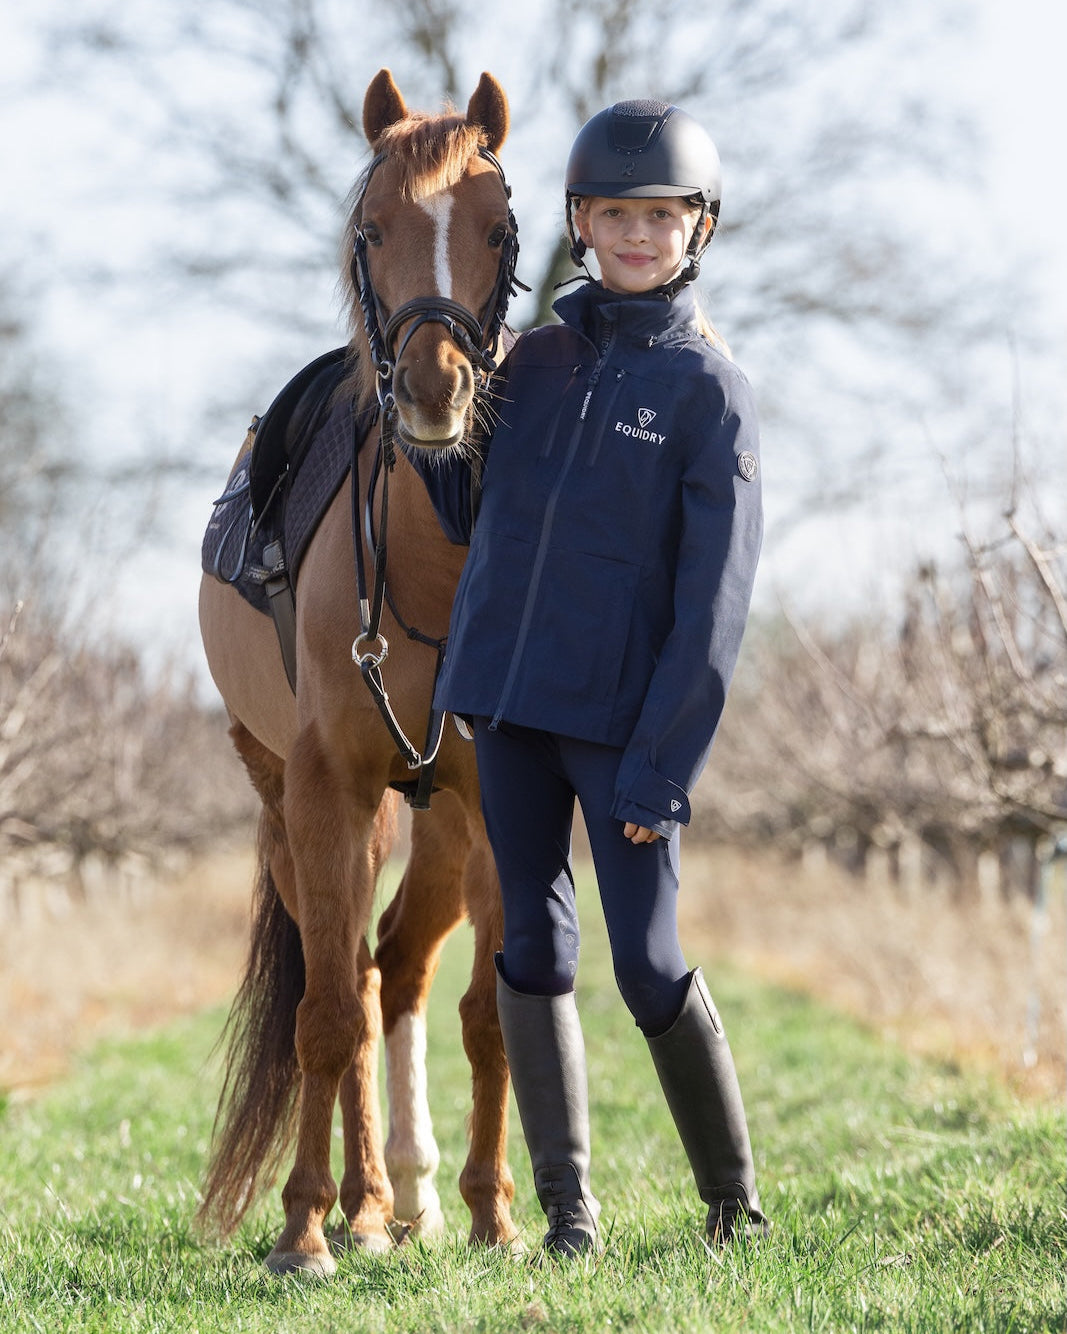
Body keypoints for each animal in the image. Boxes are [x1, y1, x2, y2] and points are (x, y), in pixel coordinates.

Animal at [197, 69, 522, 1276]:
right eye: (371, 228)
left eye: (497, 227)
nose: (435, 391)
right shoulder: (328, 790)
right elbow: (325, 1014)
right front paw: (301, 1226)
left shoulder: (499, 800)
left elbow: (492, 1011)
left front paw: (495, 1213)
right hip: (294, 811)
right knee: (348, 975)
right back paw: (363, 1202)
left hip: (429, 822)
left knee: (395, 966)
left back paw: (405, 1197)